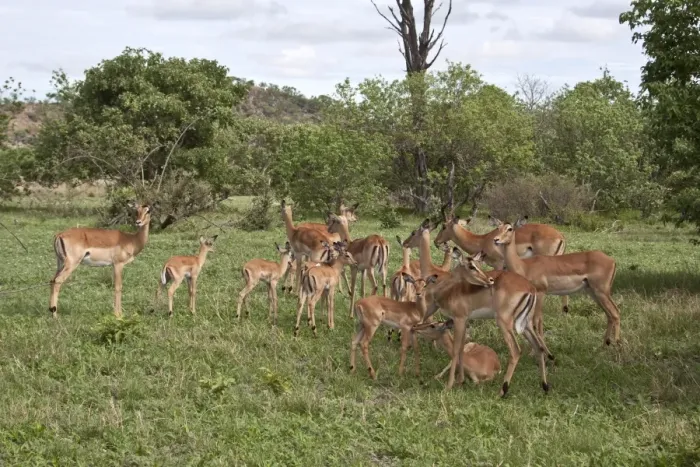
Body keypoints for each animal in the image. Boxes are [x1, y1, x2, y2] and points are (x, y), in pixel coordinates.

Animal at [418, 227, 554, 396]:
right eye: (471, 266)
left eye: (477, 264)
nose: (490, 280)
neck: (448, 290)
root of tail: (530, 289)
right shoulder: (464, 320)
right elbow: (462, 348)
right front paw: (460, 380)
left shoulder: (459, 319)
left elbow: (456, 350)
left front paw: (449, 386)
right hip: (526, 324)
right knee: (539, 347)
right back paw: (545, 386)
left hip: (504, 323)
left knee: (516, 351)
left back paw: (502, 391)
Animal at [492, 221, 621, 346]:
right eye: (498, 227)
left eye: (510, 229)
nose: (496, 239)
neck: (525, 266)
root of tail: (612, 260)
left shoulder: (541, 293)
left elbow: (537, 320)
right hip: (594, 293)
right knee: (609, 314)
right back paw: (604, 345)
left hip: (601, 292)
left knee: (615, 312)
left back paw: (617, 345)